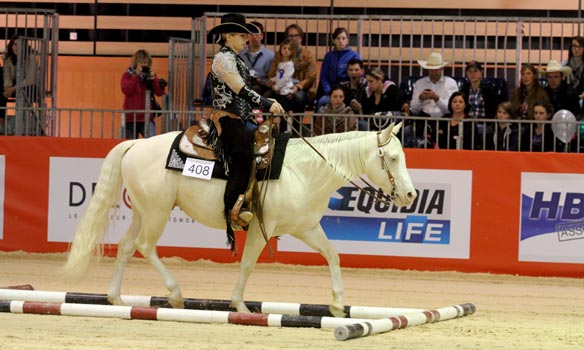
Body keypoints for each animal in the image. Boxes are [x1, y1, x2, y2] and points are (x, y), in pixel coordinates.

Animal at [62, 123, 416, 318]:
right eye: (392, 158)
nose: (411, 195)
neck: (304, 171)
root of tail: (137, 143)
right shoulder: (263, 229)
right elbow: (247, 265)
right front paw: (240, 306)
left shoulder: (306, 228)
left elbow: (333, 256)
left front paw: (338, 305)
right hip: (157, 212)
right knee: (145, 246)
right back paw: (175, 294)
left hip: (143, 210)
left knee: (125, 247)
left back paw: (116, 298)